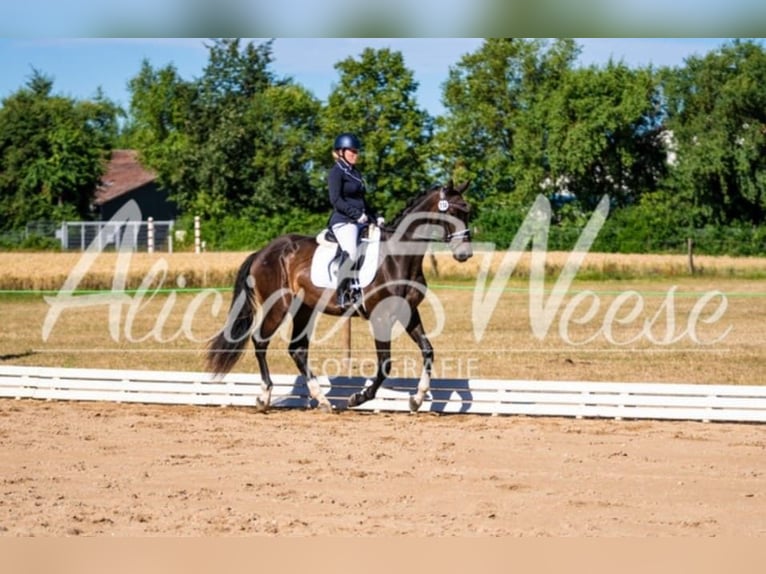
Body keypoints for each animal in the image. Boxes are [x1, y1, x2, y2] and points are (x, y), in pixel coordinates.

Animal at [208, 182, 474, 412]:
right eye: (452, 211)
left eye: (467, 212)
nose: (465, 255)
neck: (397, 256)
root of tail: (263, 252)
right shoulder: (381, 317)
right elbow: (385, 363)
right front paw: (358, 397)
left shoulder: (407, 311)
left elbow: (427, 350)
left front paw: (417, 399)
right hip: (278, 306)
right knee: (261, 342)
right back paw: (264, 397)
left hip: (304, 308)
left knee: (297, 350)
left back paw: (322, 400)